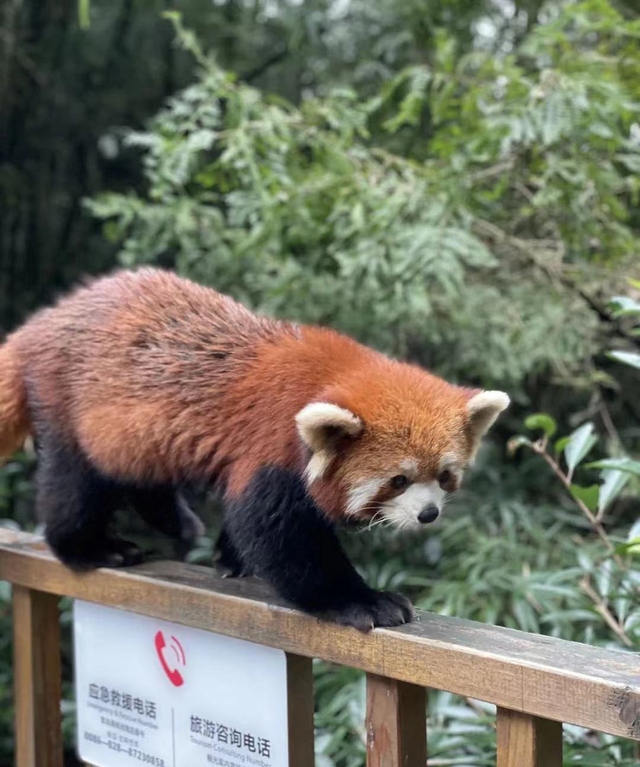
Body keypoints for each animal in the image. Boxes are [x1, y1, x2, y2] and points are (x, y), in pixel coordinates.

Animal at [0, 270, 510, 632]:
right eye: (398, 480)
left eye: (444, 475)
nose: (428, 514)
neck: (329, 375)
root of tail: (40, 324)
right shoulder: (271, 445)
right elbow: (276, 533)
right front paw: (362, 601)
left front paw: (231, 559)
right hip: (67, 399)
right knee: (75, 484)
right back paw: (91, 547)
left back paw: (178, 523)